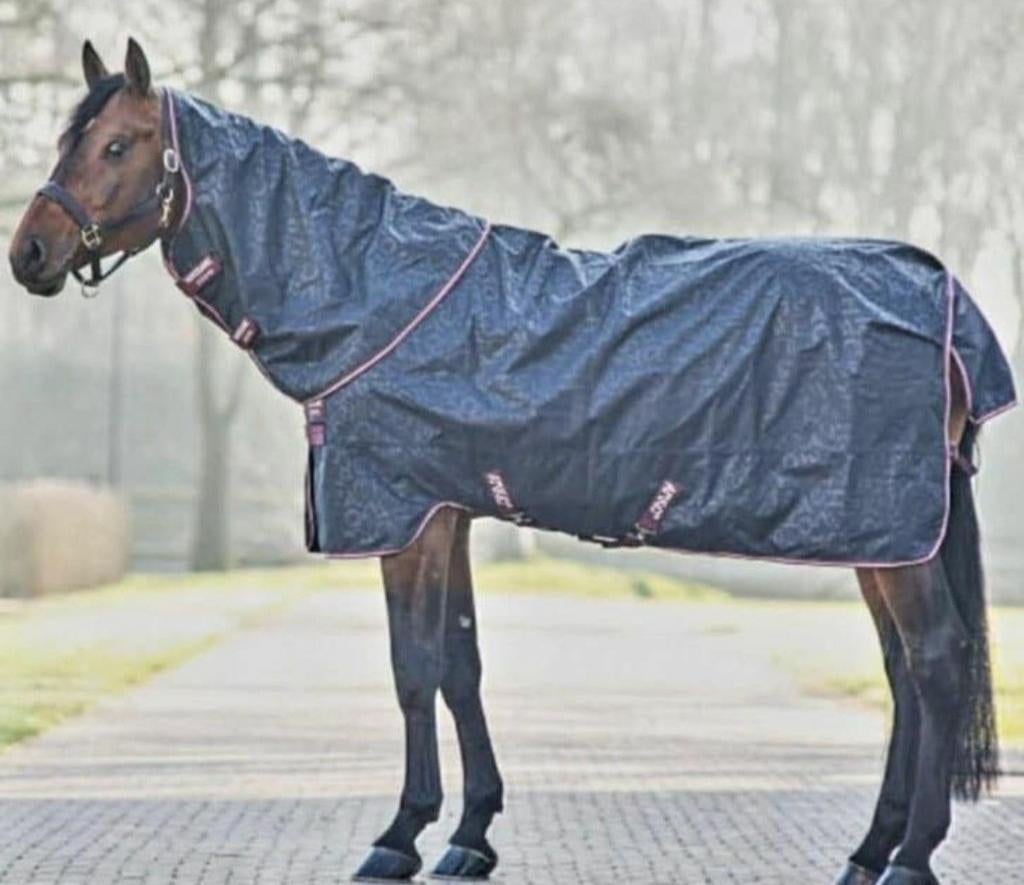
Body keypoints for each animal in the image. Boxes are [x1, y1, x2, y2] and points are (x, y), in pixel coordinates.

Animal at [8, 40, 1015, 885]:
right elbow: (462, 664)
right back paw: (869, 850)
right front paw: (469, 834)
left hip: (891, 533)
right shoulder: (447, 511)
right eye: (70, 139)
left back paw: (911, 858)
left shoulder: (404, 518)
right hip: (886, 539)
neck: (378, 294)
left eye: (117, 144)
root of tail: (946, 298)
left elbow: (413, 666)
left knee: (934, 662)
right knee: (903, 671)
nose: (30, 254)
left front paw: (398, 836)